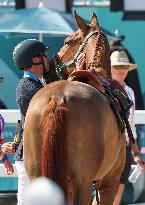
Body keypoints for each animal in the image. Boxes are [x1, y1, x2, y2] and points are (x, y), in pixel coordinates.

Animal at [23, 11, 125, 205]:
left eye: (67, 42)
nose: (48, 72)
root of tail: (58, 96)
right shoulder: (110, 184)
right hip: (82, 183)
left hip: (38, 176)